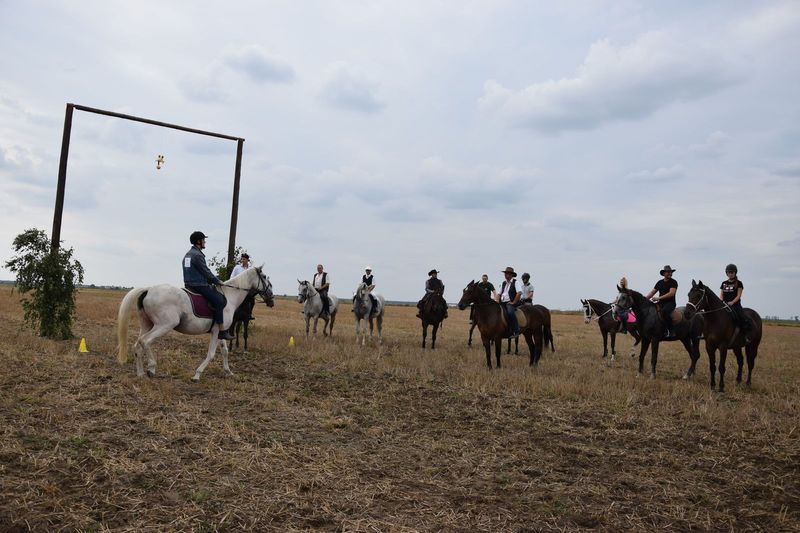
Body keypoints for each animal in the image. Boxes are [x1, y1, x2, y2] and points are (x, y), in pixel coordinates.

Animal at [115, 268, 272, 380]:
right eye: (264, 277)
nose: (271, 298)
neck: (229, 297)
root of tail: (148, 289)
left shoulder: (222, 332)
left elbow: (225, 351)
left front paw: (228, 372)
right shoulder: (216, 332)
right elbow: (211, 354)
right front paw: (197, 374)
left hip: (147, 324)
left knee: (137, 346)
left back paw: (140, 373)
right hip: (164, 325)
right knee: (145, 341)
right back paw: (151, 368)